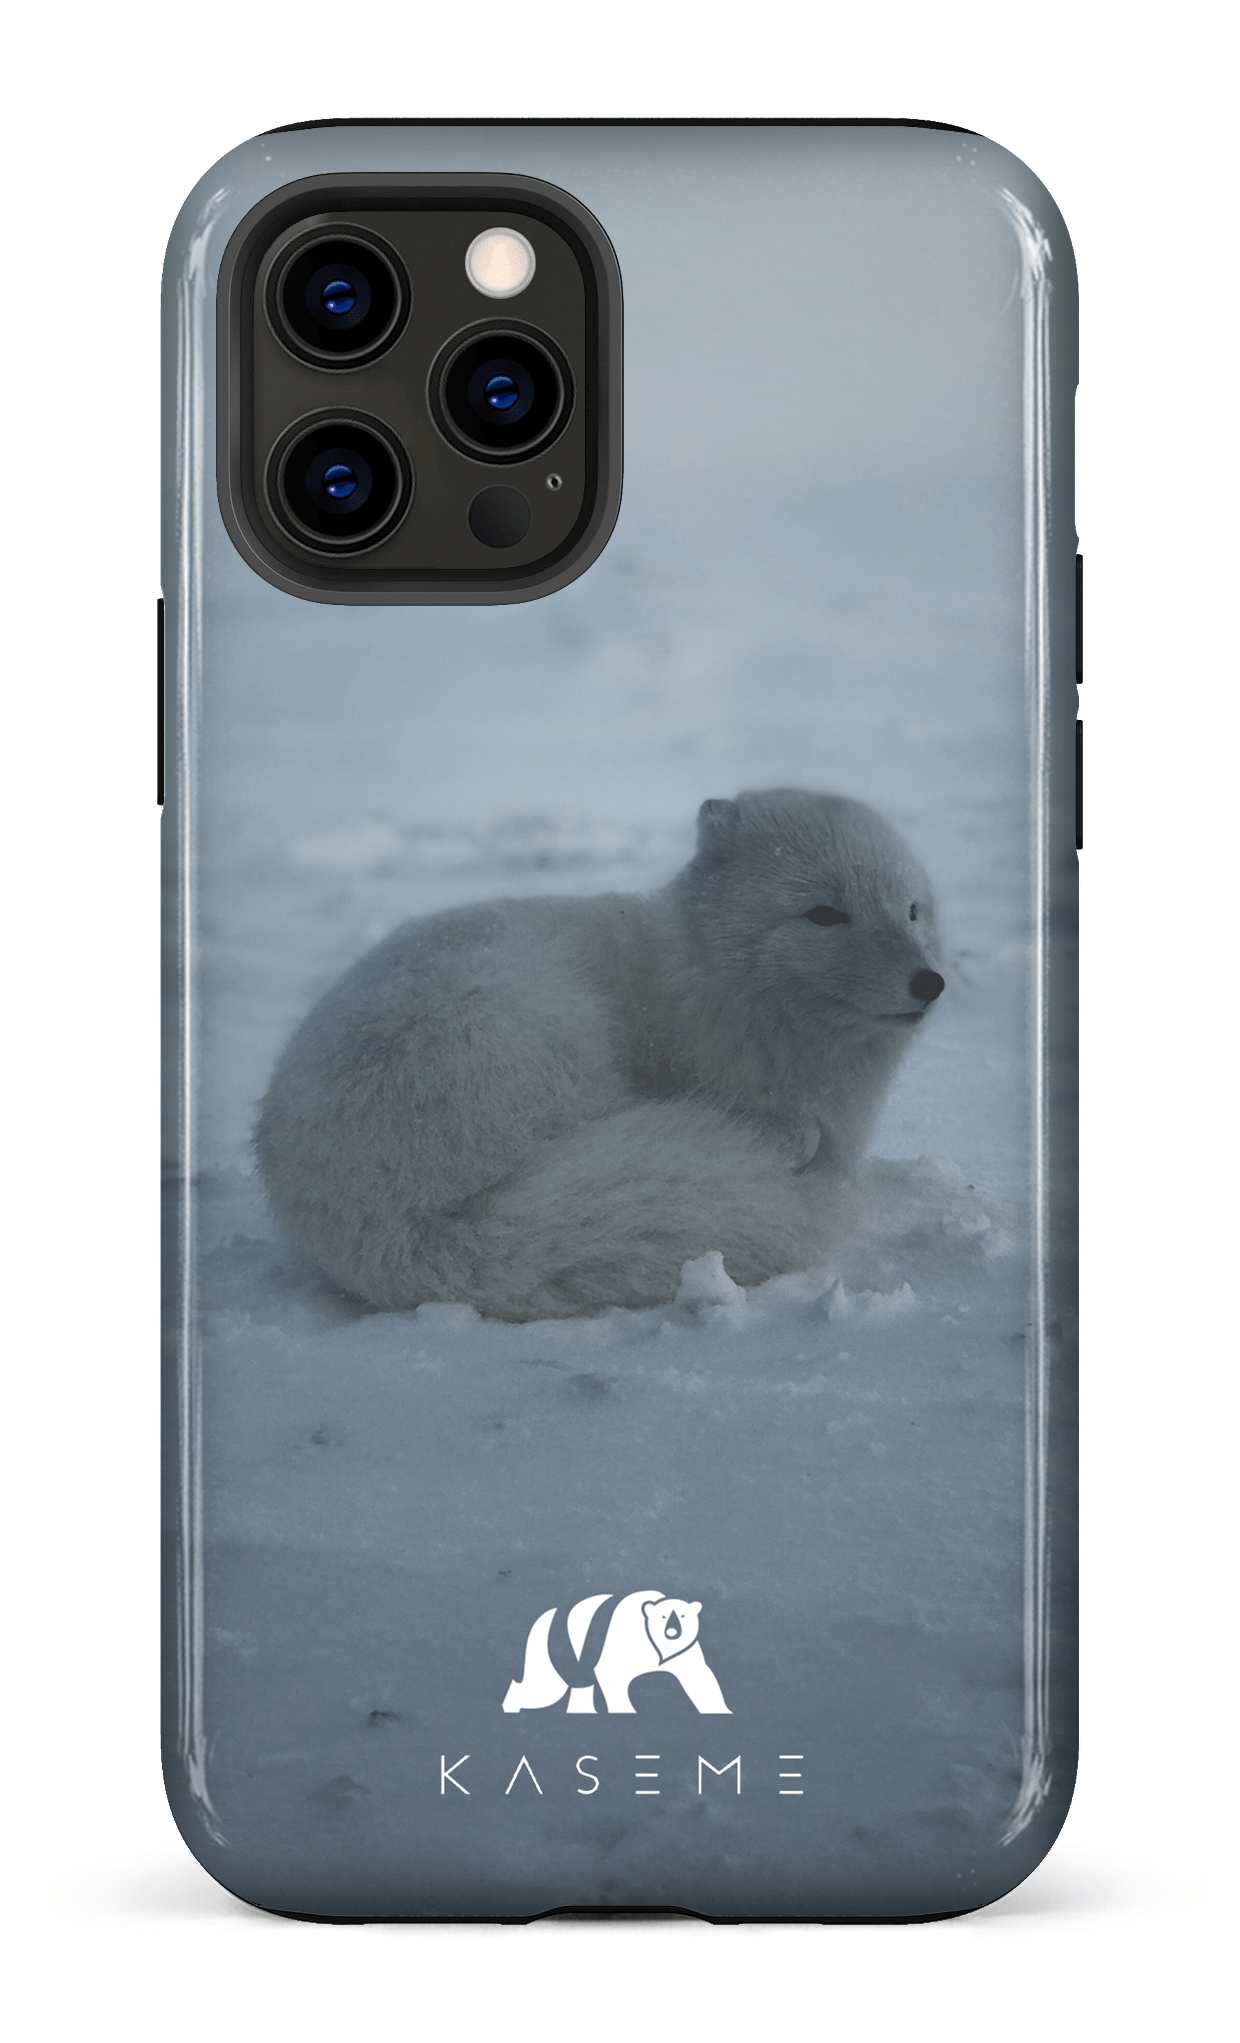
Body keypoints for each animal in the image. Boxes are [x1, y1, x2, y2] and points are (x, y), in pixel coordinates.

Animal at [255, 789, 945, 1320]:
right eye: (824, 914)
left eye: (911, 910)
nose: (930, 982)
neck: (703, 984)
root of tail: (395, 1230)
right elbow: (797, 1131)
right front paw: (790, 1138)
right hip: (533, 1030)